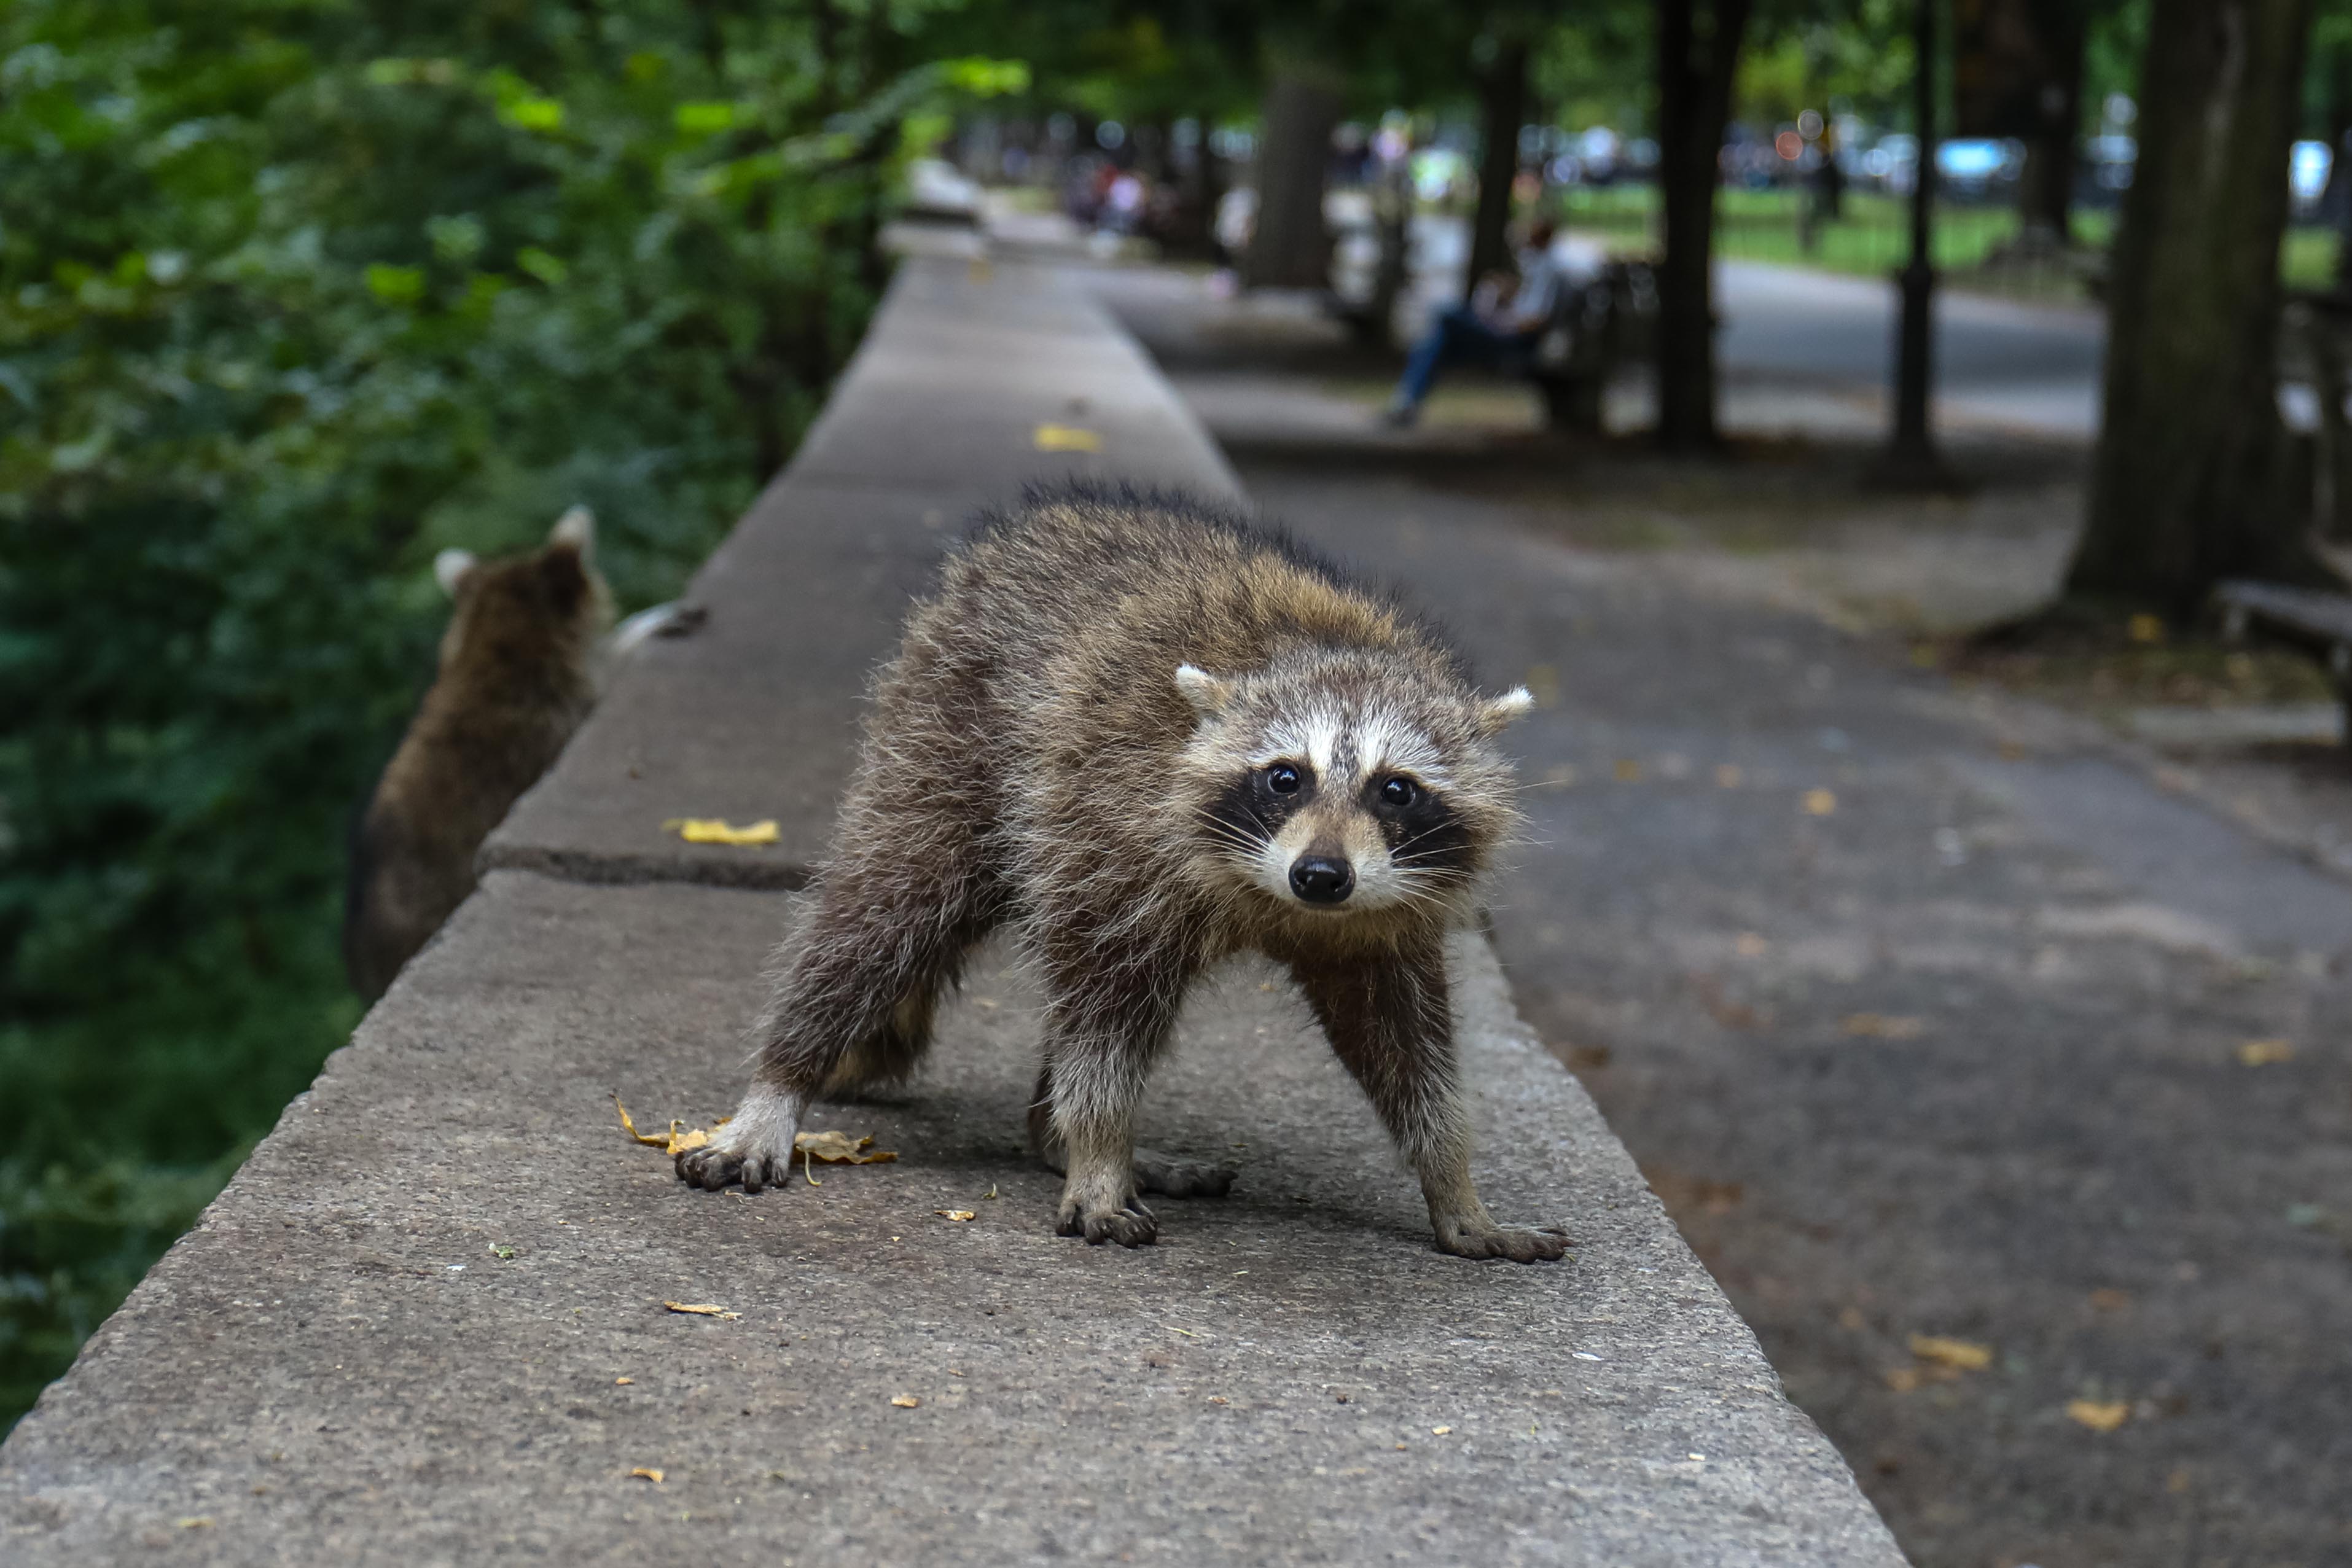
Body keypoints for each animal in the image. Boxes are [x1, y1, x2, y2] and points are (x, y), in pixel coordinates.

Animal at [677, 484, 1561, 1260]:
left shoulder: (1380, 921)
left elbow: (1403, 1045)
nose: (1319, 875)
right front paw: (1099, 1151)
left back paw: (1050, 1132)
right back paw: (786, 1077)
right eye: (1286, 778)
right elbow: (1100, 1017)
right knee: (888, 910)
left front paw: (1453, 1181)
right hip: (949, 736)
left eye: (1396, 789)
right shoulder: (1117, 829)